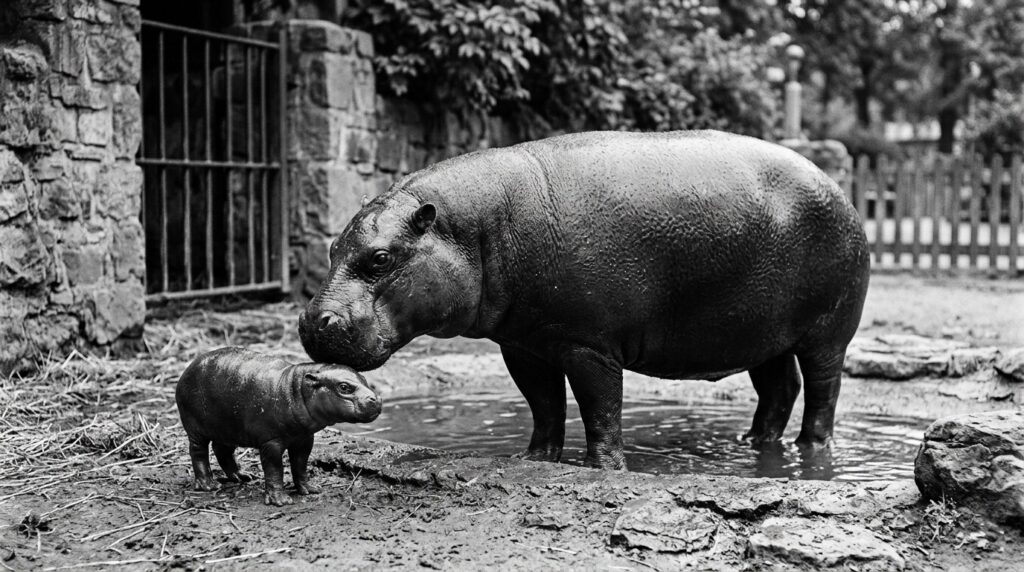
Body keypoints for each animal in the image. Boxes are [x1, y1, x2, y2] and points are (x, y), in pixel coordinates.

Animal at [175, 347, 381, 505]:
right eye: (344, 387)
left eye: (365, 379)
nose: (376, 399)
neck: (295, 388)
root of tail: (188, 367)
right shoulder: (271, 442)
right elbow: (275, 470)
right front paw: (280, 501)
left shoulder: (304, 438)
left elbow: (300, 465)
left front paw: (310, 489)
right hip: (196, 428)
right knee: (198, 452)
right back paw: (209, 485)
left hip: (228, 427)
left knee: (222, 450)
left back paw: (242, 476)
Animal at [298, 130, 870, 469]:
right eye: (331, 247)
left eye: (379, 258)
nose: (311, 321)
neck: (475, 229)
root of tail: (838, 187)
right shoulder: (523, 345)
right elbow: (544, 405)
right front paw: (536, 459)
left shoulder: (588, 345)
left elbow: (600, 408)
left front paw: (604, 469)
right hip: (760, 333)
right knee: (779, 388)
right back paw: (752, 445)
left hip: (828, 332)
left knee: (823, 390)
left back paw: (810, 450)